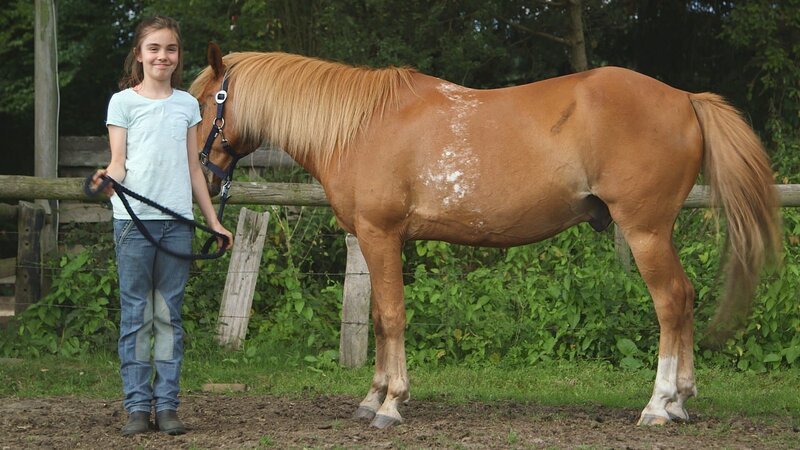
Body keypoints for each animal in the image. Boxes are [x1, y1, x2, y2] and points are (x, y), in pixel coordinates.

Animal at [190, 43, 781, 429]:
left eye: (201, 106)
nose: (204, 180)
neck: (360, 126)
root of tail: (684, 98)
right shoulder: (374, 241)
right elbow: (379, 319)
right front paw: (372, 397)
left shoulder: (381, 235)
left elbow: (392, 317)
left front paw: (391, 404)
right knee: (686, 299)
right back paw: (681, 400)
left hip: (645, 232)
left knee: (671, 302)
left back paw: (659, 405)